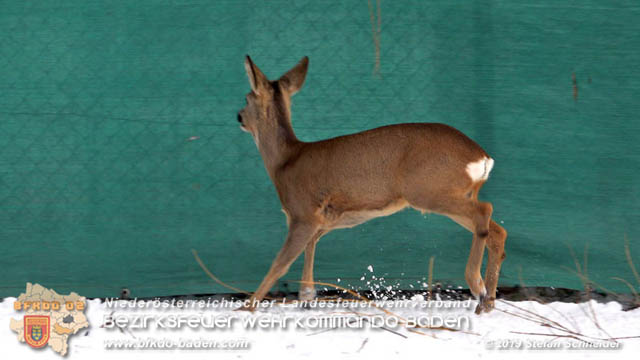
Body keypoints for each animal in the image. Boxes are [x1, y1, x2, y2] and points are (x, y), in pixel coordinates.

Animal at [238, 54, 508, 314]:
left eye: (248, 97)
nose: (239, 116)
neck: (285, 162)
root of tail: (482, 157)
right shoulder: (323, 220)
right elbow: (309, 252)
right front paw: (306, 298)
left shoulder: (302, 213)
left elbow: (280, 263)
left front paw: (247, 307)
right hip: (453, 193)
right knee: (496, 231)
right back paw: (487, 301)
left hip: (428, 189)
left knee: (485, 210)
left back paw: (477, 286)